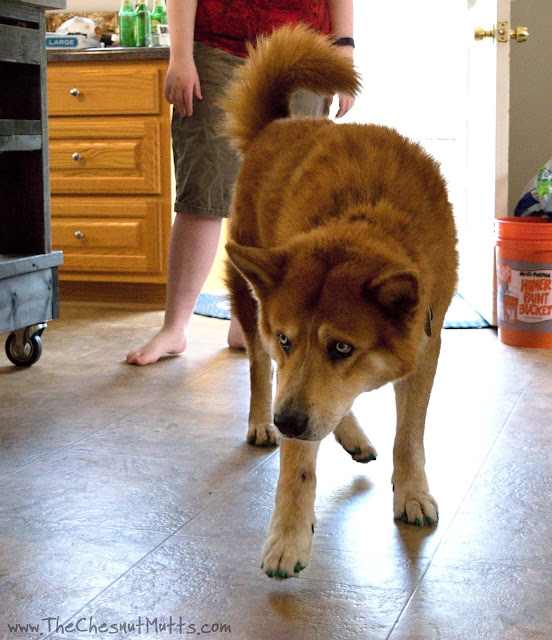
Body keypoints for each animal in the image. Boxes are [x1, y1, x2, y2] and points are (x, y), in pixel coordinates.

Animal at [220, 25, 458, 576]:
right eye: (287, 338)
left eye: (343, 348)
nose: (286, 422)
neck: (367, 216)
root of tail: (277, 124)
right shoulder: (290, 370)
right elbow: (298, 464)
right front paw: (288, 536)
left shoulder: (426, 348)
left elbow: (409, 437)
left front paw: (411, 493)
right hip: (249, 302)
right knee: (261, 370)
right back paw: (262, 420)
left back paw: (347, 435)